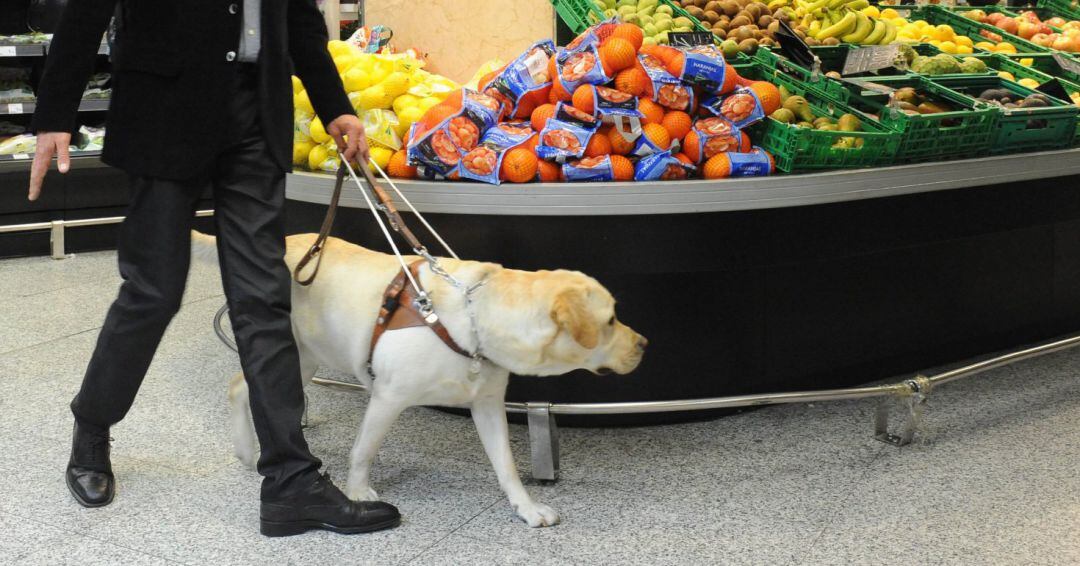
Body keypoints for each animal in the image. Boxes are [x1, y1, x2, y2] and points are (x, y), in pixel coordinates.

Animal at [191, 230, 643, 527]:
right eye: (610, 320)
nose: (645, 344)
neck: (474, 322)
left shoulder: (488, 405)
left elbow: (507, 466)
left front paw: (526, 507)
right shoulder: (387, 397)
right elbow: (363, 450)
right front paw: (357, 492)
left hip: (305, 359)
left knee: (241, 387)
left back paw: (248, 450)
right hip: (290, 349)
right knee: (240, 387)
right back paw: (248, 449)